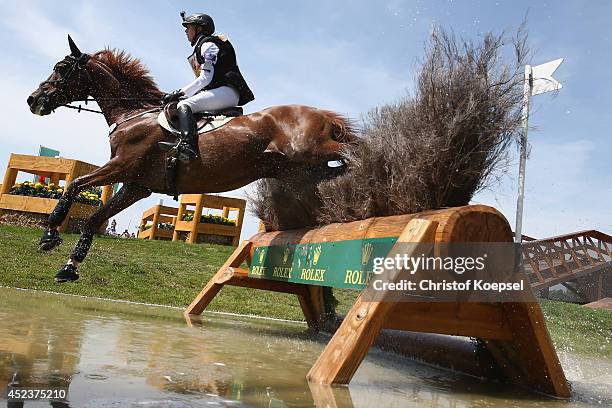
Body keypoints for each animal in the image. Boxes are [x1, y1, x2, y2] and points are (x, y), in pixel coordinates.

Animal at [27, 35, 354, 282]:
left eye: (60, 68)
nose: (33, 100)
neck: (132, 115)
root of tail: (322, 114)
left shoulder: (120, 167)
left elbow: (75, 185)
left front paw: (49, 235)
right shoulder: (136, 186)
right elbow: (93, 219)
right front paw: (68, 268)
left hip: (311, 149)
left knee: (352, 150)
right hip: (302, 171)